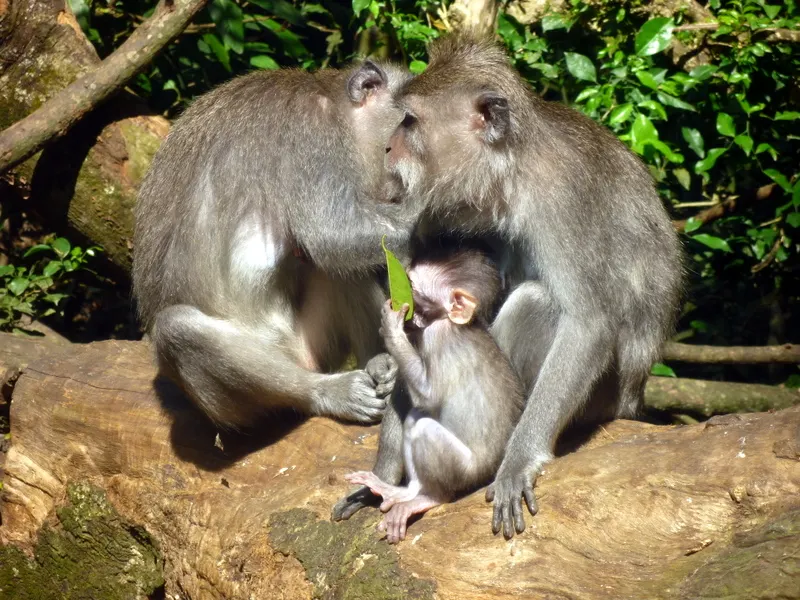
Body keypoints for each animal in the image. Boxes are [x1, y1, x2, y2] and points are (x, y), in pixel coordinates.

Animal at [346, 246, 524, 540]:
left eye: (411, 288)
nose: (393, 300)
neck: (454, 322)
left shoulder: (439, 336)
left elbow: (428, 396)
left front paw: (392, 331)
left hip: (466, 472)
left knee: (424, 427)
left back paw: (430, 497)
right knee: (414, 418)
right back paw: (401, 492)